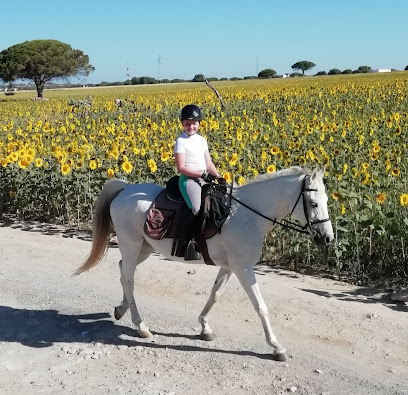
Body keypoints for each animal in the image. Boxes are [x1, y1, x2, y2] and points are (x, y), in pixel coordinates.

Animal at [76, 167, 334, 362]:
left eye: (326, 200)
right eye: (312, 203)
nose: (327, 238)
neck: (248, 216)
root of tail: (124, 189)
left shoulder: (230, 266)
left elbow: (215, 294)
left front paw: (204, 327)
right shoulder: (243, 268)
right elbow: (261, 307)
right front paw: (276, 347)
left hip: (144, 248)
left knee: (123, 271)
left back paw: (122, 309)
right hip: (131, 244)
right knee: (129, 278)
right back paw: (141, 326)